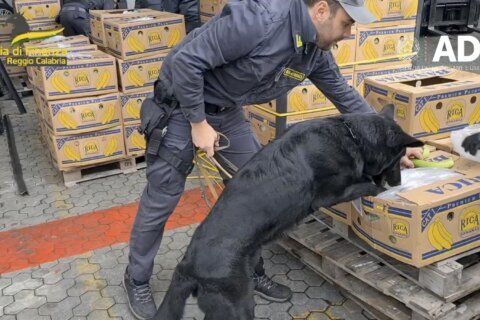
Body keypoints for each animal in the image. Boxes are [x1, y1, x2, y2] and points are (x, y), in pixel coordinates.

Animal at [156, 108, 422, 320]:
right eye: (398, 158)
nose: (398, 183)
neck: (353, 136)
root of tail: (187, 266)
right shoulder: (333, 193)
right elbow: (370, 185)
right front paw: (384, 190)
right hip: (238, 306)